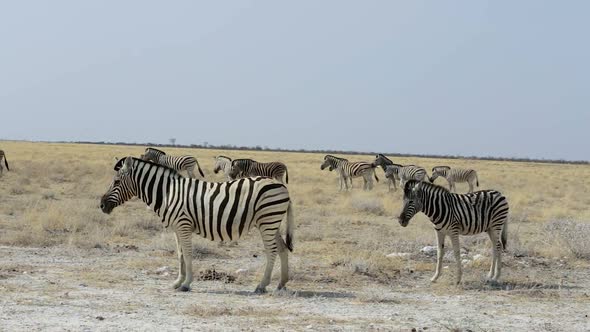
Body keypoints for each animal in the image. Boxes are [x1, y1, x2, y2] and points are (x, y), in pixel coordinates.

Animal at [103, 157, 296, 292]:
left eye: (117, 182)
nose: (102, 205)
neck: (168, 193)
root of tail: (280, 185)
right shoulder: (176, 228)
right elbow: (180, 254)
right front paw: (177, 282)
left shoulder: (183, 225)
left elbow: (188, 254)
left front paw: (186, 284)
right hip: (272, 222)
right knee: (282, 248)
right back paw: (281, 283)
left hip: (267, 221)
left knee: (272, 251)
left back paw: (262, 285)